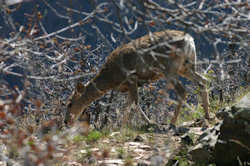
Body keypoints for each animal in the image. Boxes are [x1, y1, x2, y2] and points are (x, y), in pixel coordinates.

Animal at [64, 29, 211, 129]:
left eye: (70, 103)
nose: (66, 121)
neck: (111, 78)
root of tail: (189, 40)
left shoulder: (131, 78)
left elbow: (135, 103)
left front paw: (150, 122)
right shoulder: (129, 85)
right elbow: (127, 105)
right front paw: (121, 126)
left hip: (169, 68)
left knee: (182, 90)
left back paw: (172, 123)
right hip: (186, 66)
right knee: (203, 81)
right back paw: (207, 115)